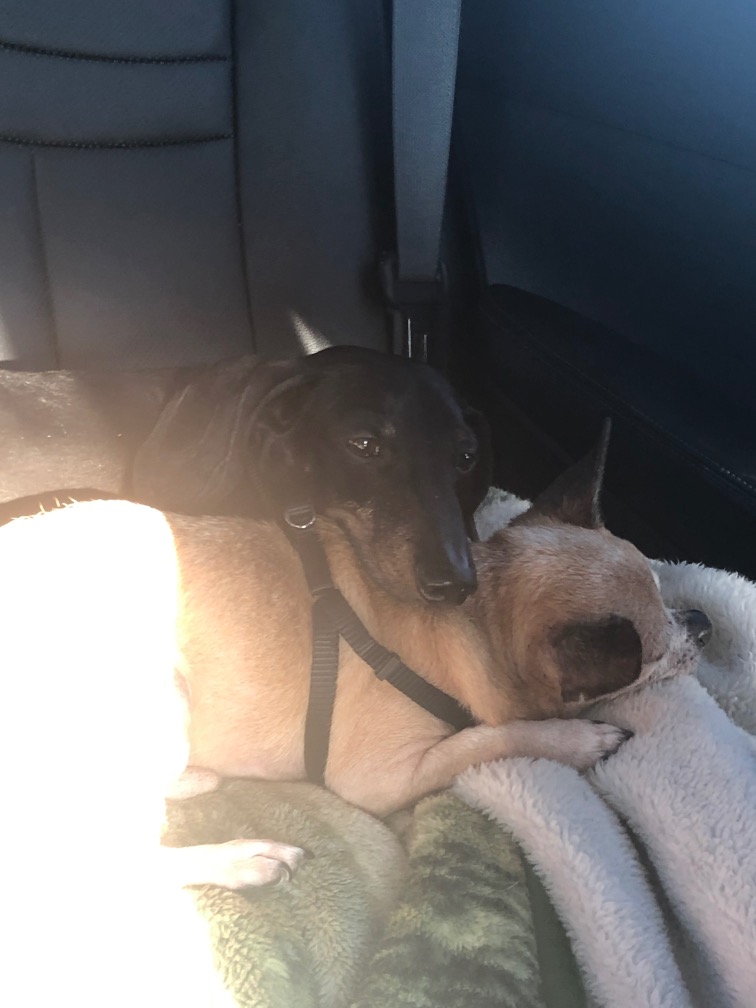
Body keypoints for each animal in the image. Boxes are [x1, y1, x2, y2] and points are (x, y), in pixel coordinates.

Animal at [0, 429, 711, 905]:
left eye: (664, 590)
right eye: (651, 655)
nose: (704, 623)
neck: (479, 607)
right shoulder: (380, 780)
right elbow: (489, 739)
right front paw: (577, 739)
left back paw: (193, 781)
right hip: (159, 697)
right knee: (97, 853)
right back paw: (240, 859)